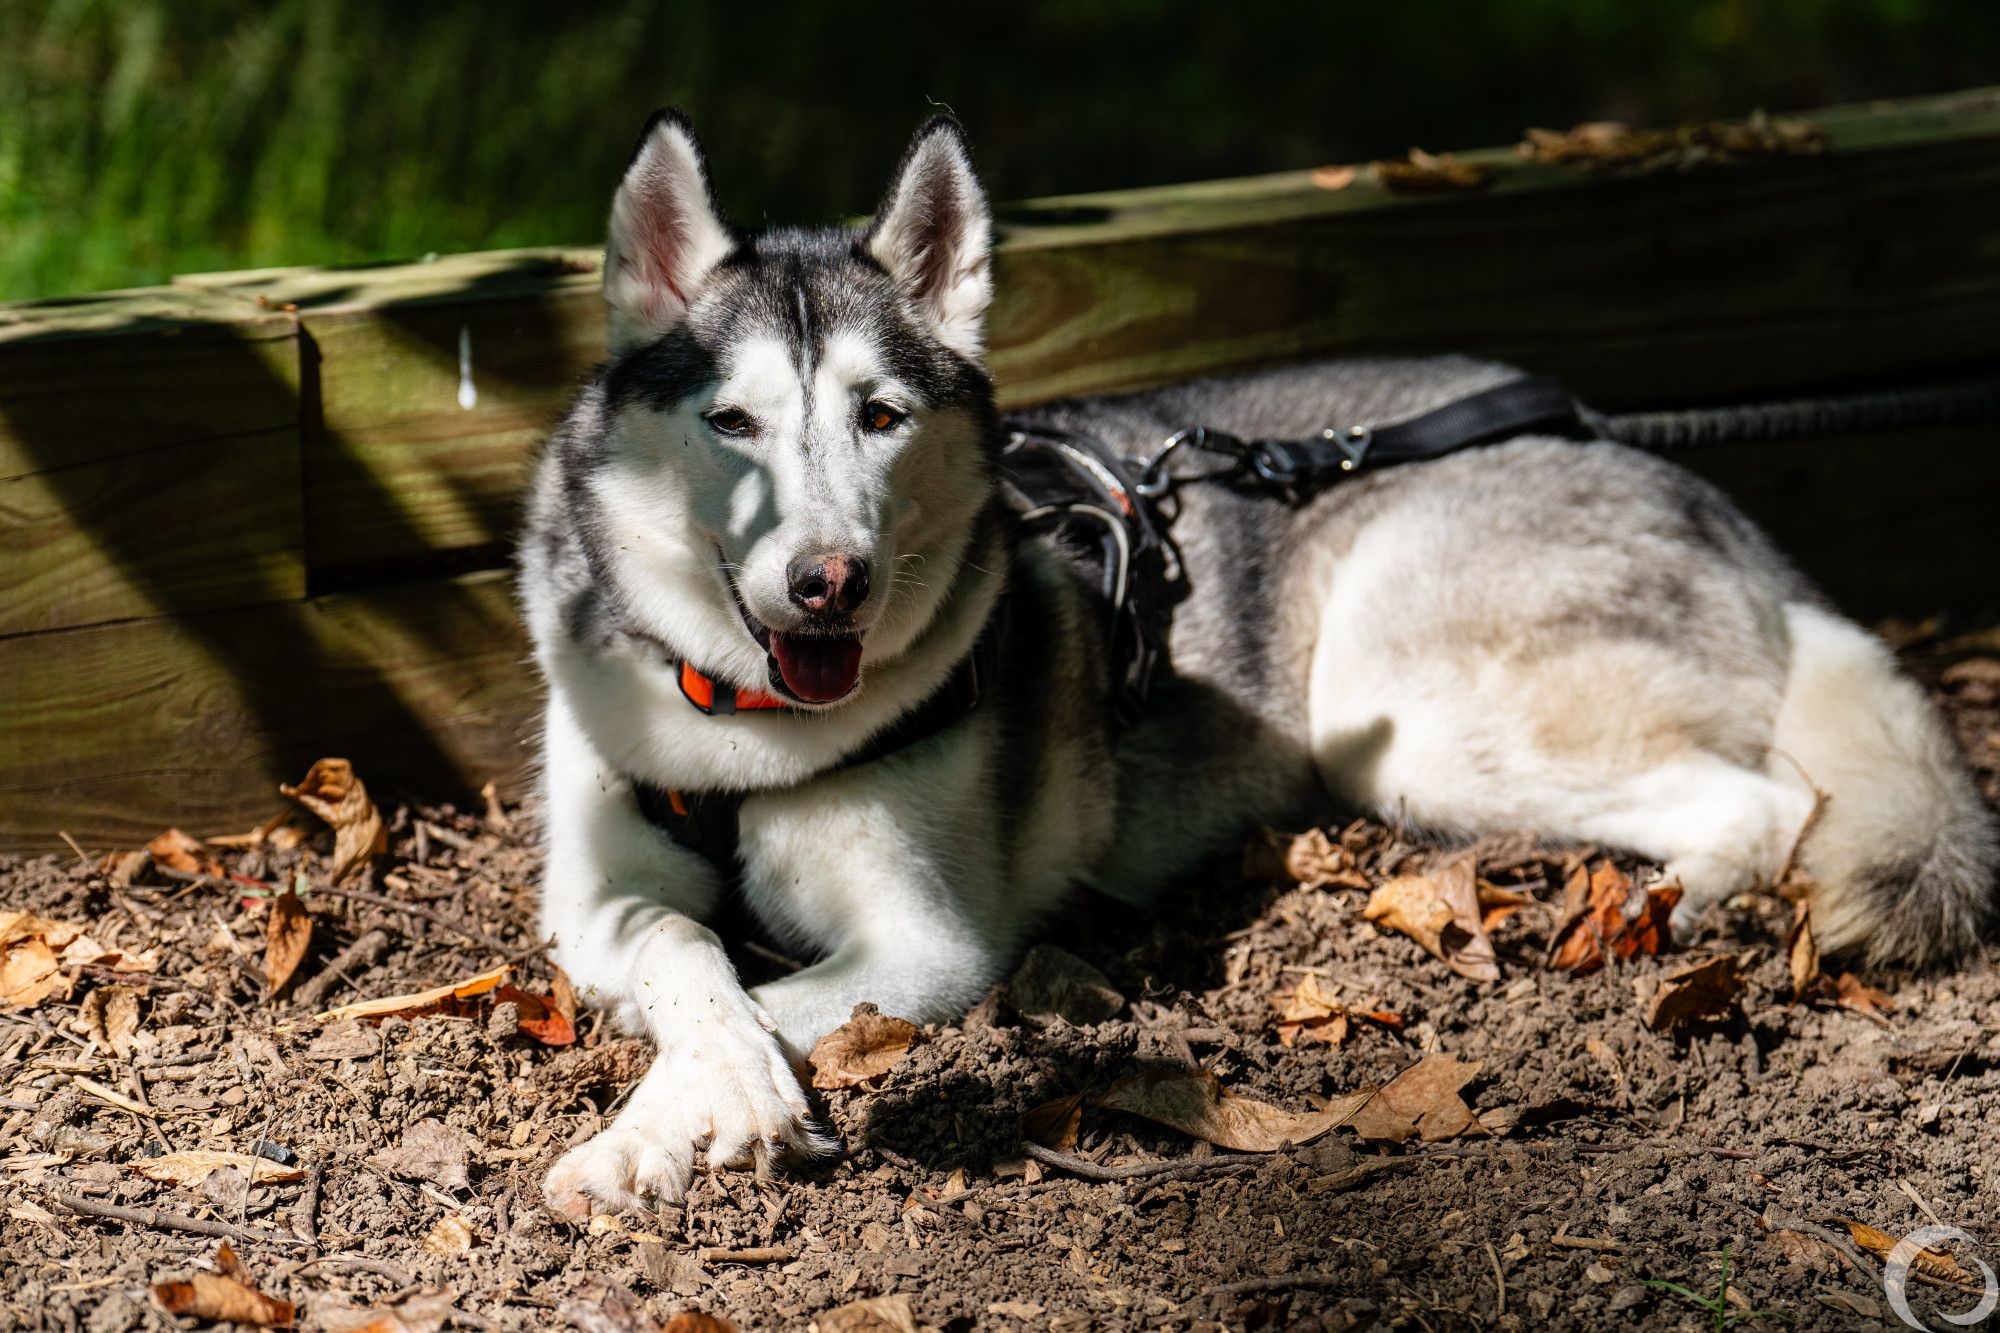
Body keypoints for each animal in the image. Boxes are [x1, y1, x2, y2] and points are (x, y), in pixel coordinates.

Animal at [520, 111, 2000, 1216]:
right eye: (733, 422)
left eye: (878, 418)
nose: (830, 579)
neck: (741, 724)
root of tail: (1673, 477)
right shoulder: (594, 907)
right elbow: (689, 954)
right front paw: (700, 1089)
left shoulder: (930, 946)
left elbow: (770, 991)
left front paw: (655, 1127)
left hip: (1401, 716)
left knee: (1759, 803)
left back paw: (1650, 915)